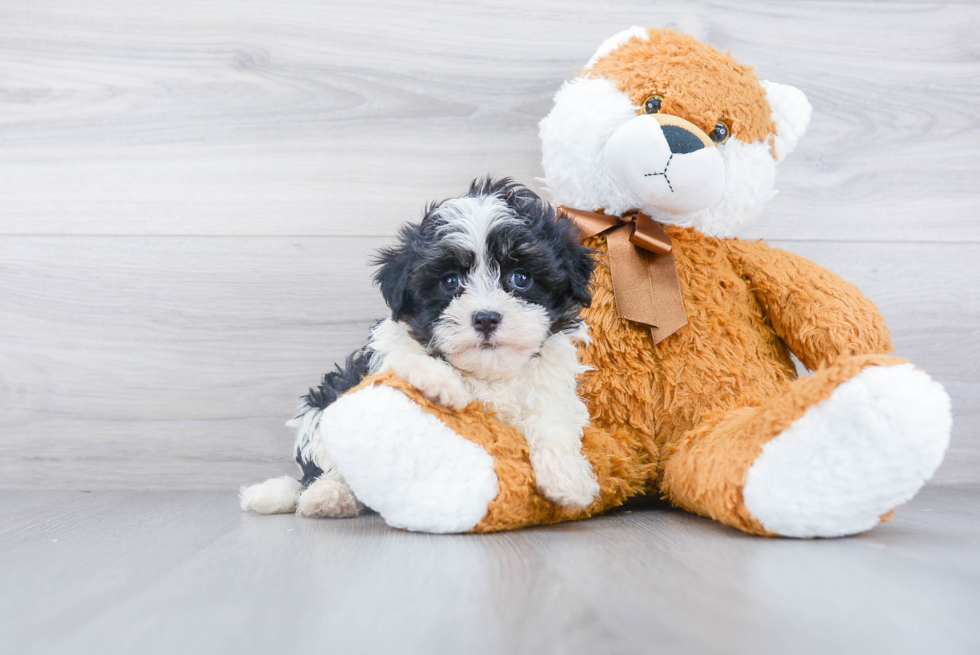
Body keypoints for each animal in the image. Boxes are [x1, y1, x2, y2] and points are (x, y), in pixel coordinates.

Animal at [241, 178, 600, 516]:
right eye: (450, 281)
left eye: (521, 278)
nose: (485, 318)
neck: (486, 372)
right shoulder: (380, 357)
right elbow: (408, 357)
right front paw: (445, 384)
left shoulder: (549, 388)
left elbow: (553, 424)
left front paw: (568, 480)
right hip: (322, 407)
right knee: (325, 465)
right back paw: (328, 497)